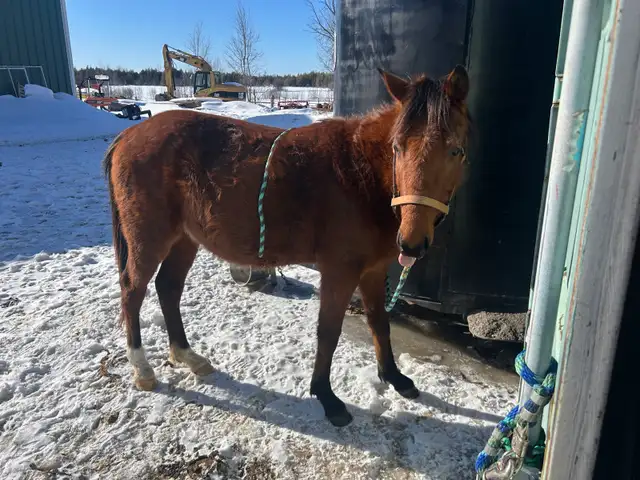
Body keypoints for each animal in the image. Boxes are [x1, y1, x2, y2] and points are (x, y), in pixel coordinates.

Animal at [103, 65, 471, 427]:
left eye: (455, 150)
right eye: (398, 148)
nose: (411, 242)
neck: (358, 173)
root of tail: (128, 135)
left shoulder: (374, 270)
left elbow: (379, 322)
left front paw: (394, 377)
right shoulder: (339, 272)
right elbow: (328, 331)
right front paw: (326, 396)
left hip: (184, 240)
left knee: (168, 288)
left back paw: (188, 357)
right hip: (149, 238)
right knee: (133, 291)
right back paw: (142, 368)